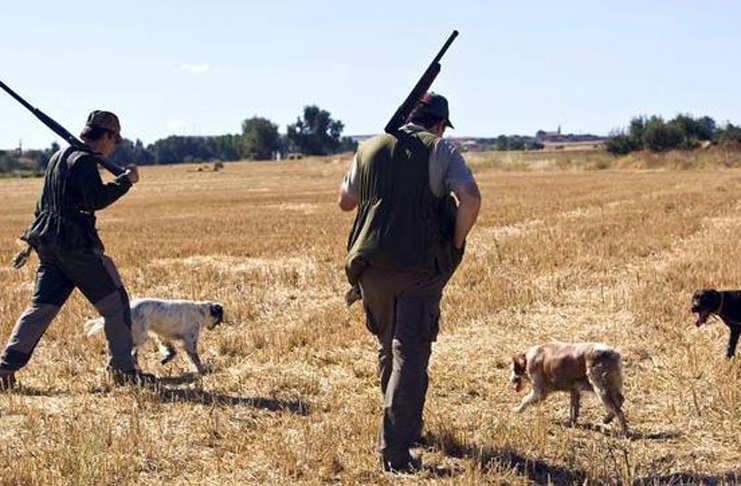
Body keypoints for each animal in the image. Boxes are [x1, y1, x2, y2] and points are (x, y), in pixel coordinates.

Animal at [84, 298, 223, 374]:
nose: (216, 326)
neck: (200, 310)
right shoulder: (190, 341)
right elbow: (196, 359)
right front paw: (202, 371)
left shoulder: (163, 335)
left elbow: (172, 351)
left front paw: (165, 359)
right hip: (140, 336)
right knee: (127, 352)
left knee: (132, 354)